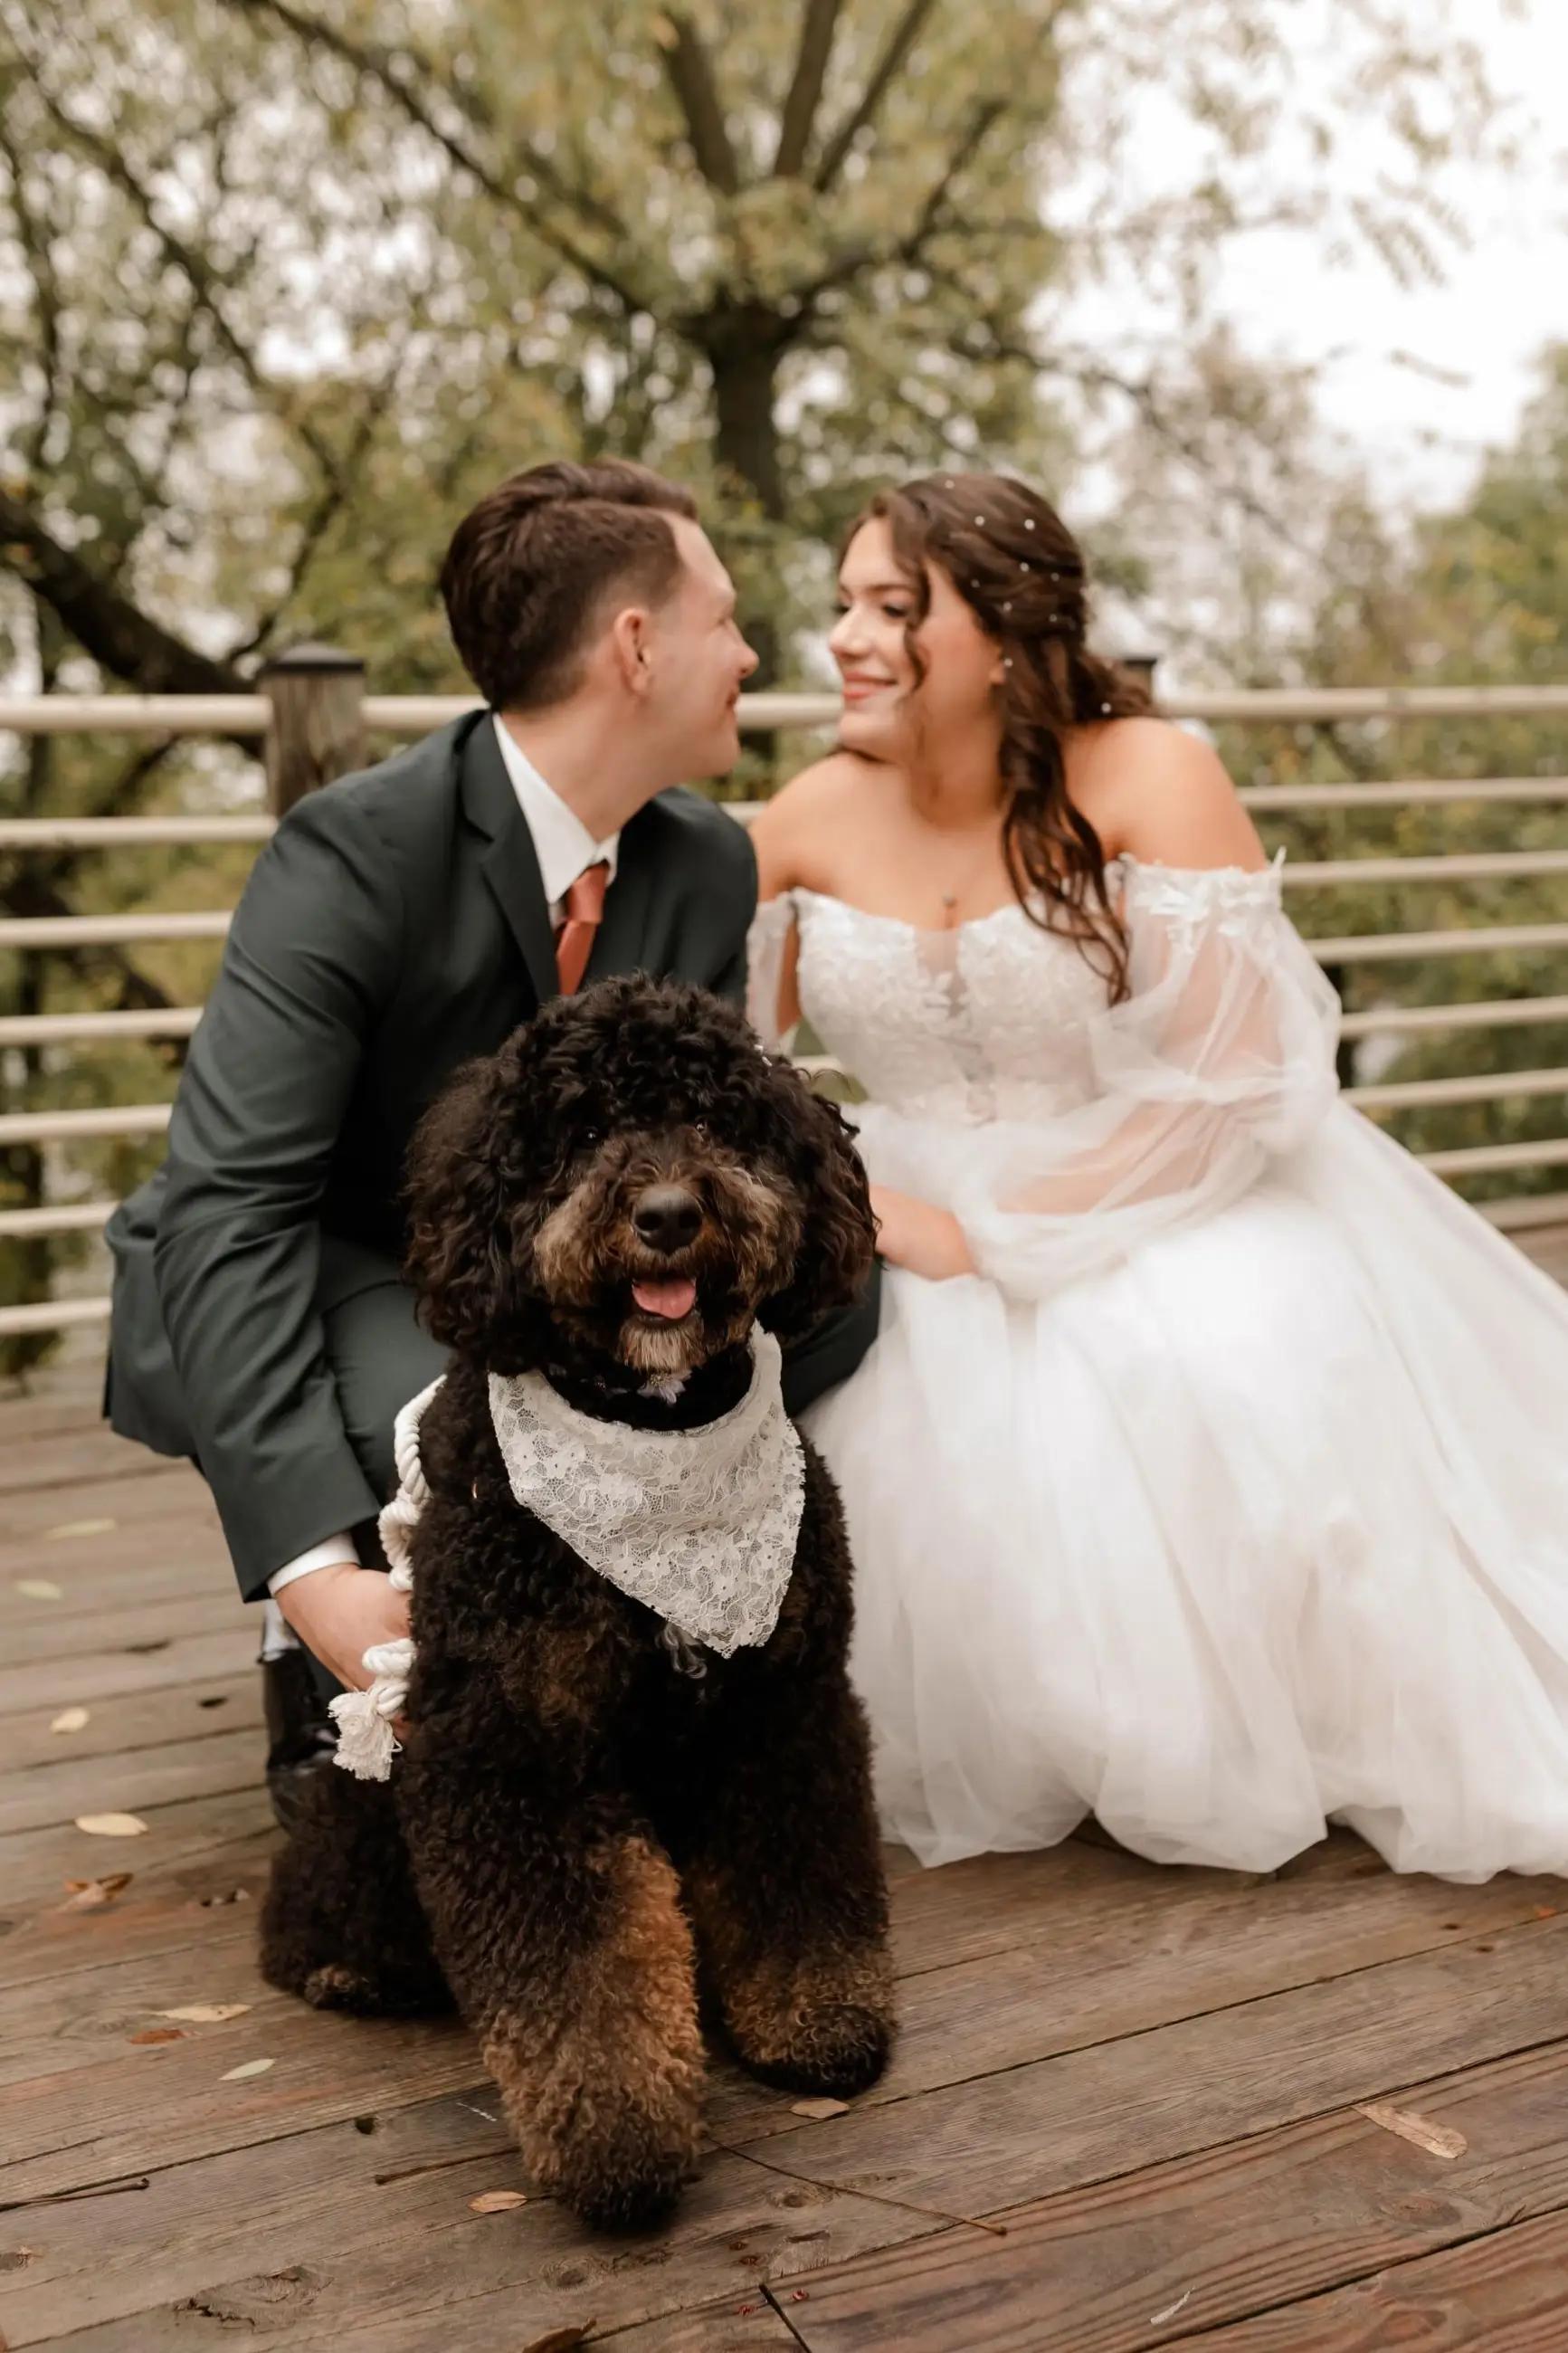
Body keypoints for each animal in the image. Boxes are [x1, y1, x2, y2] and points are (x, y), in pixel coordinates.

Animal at [262, 974, 889, 2221]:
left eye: (714, 1117)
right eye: (581, 1132)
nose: (666, 1213)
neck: (653, 1430)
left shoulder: (785, 1704)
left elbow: (800, 1870)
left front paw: (816, 2015)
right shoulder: (510, 1747)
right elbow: (581, 1971)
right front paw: (618, 2140)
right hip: (382, 1777)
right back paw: (335, 1955)